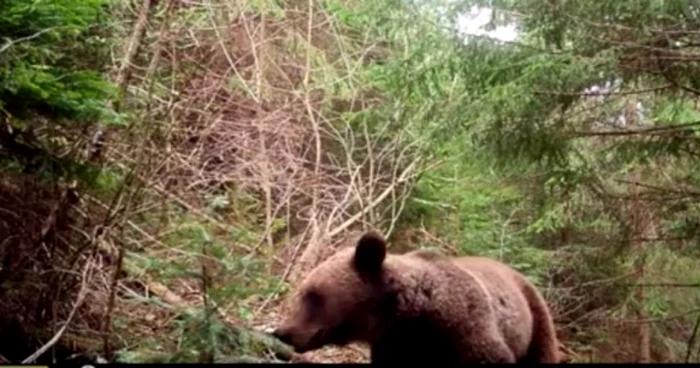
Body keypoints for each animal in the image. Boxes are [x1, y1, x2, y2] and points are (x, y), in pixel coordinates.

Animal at [270, 231, 560, 364]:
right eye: (304, 293)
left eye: (314, 296)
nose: (283, 332)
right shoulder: (396, 345)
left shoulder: (467, 329)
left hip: (536, 324)